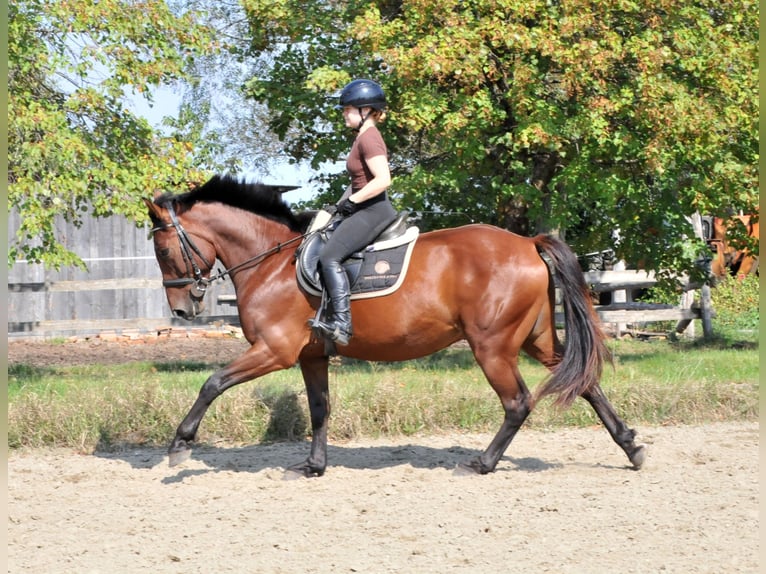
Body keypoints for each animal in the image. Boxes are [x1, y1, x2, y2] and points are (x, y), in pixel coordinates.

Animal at [146, 174, 648, 476]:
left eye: (164, 250)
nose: (183, 311)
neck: (272, 262)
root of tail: (527, 243)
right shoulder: (310, 355)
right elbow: (320, 408)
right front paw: (314, 465)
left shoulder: (274, 350)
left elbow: (212, 383)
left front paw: (179, 445)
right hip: (536, 339)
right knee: (584, 382)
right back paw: (631, 447)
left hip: (492, 345)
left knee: (518, 402)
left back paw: (482, 463)